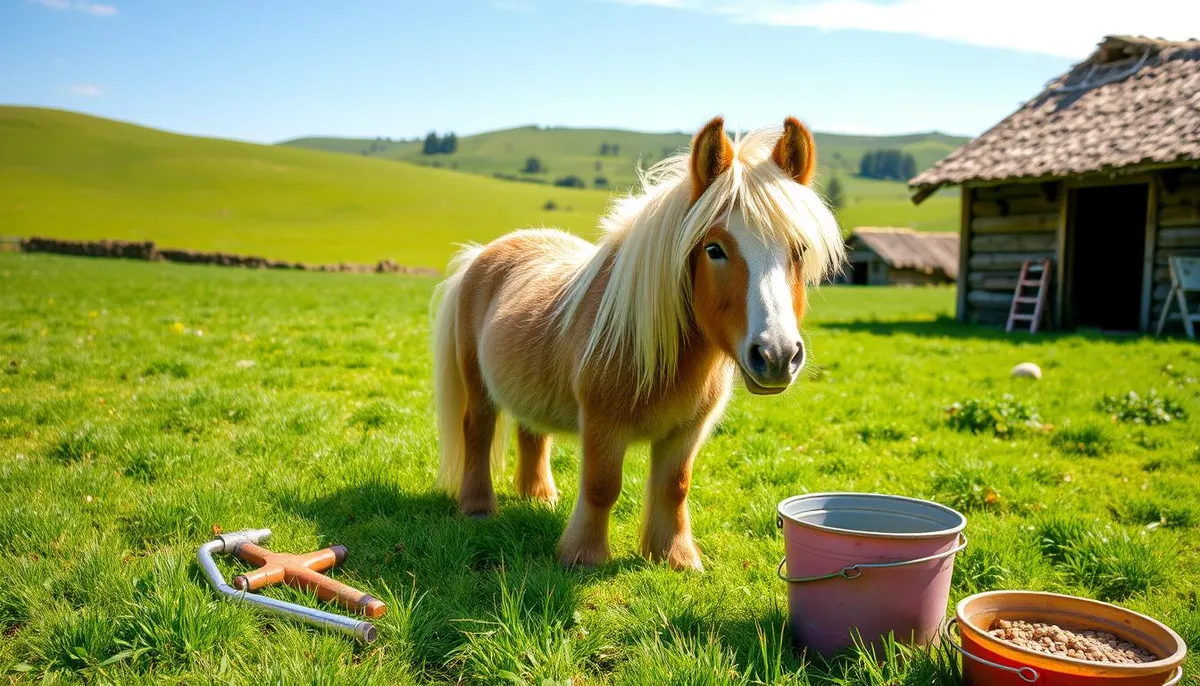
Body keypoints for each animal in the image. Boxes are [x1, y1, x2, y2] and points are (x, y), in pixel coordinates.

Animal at [431, 116, 844, 570]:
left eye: (799, 249)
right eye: (714, 248)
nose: (777, 355)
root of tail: (481, 255)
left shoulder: (686, 431)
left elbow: (674, 487)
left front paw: (675, 557)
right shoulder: (602, 425)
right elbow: (601, 486)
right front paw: (584, 555)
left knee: (532, 432)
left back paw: (539, 497)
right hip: (478, 385)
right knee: (477, 432)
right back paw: (478, 507)